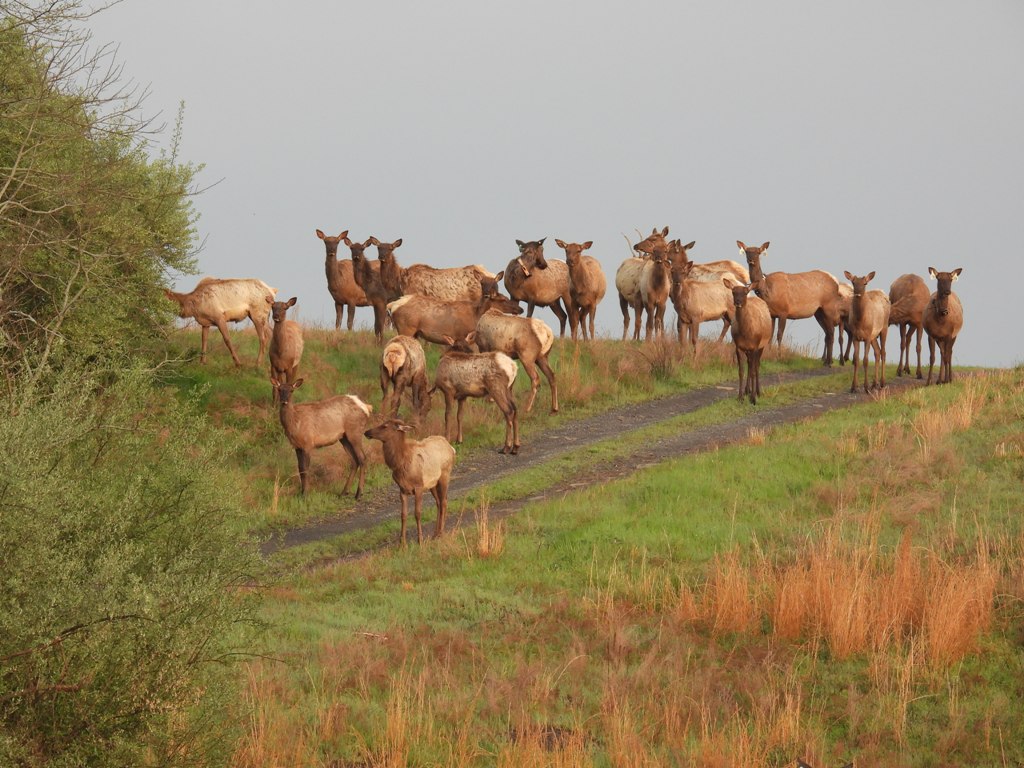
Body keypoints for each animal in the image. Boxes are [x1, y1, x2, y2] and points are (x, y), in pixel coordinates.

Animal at [386, 273, 522, 346]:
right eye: (503, 299)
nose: (520, 309)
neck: (476, 316)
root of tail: (392, 305)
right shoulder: (463, 335)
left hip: (413, 332)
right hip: (406, 327)